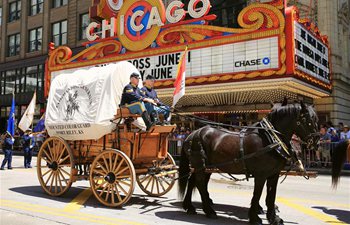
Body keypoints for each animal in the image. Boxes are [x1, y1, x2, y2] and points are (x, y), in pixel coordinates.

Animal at [179, 101, 318, 224]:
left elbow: (271, 196)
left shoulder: (274, 174)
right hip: (200, 165)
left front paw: (273, 218)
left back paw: (190, 206)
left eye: (316, 120)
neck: (271, 139)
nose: (316, 142)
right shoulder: (261, 175)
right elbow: (257, 194)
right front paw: (254, 217)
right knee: (200, 183)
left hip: (206, 167)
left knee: (193, 181)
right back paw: (209, 211)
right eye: (309, 120)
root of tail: (192, 134)